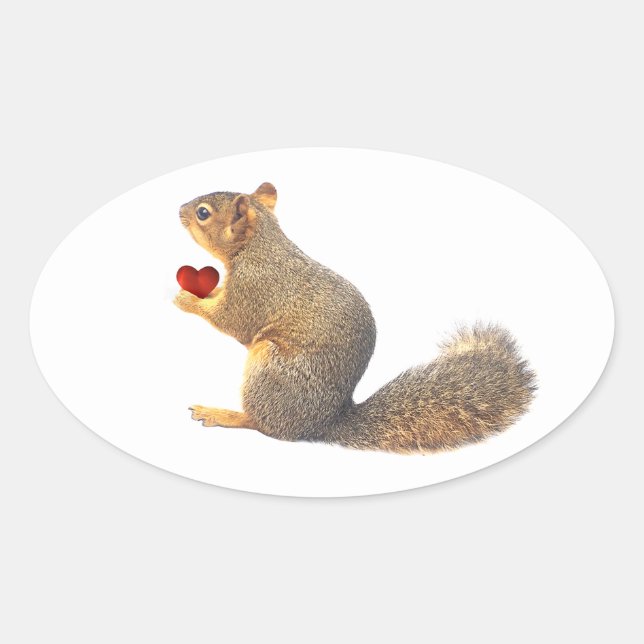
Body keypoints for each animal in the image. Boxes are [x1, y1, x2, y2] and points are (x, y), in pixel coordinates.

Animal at [174, 182, 537, 454]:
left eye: (203, 213)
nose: (179, 209)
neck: (259, 245)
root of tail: (324, 422)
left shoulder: (254, 290)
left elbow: (233, 322)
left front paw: (186, 298)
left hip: (270, 368)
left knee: (267, 427)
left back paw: (224, 415)